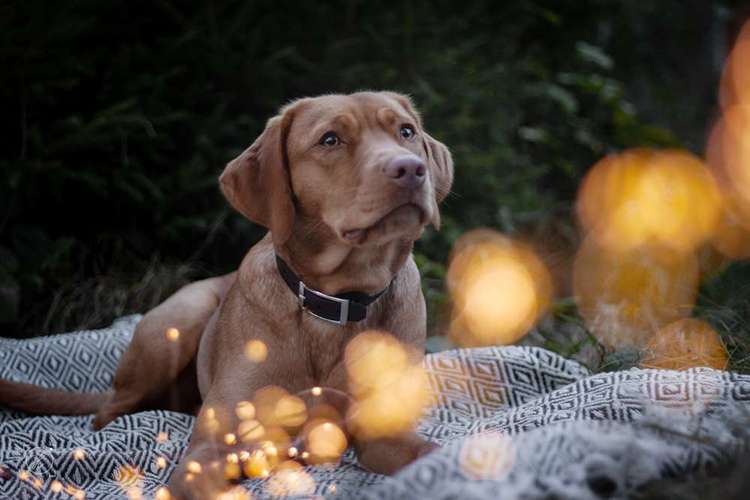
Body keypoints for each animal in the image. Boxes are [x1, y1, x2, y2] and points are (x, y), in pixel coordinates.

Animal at [0, 92, 452, 498]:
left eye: (406, 132)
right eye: (330, 139)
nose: (410, 169)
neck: (335, 301)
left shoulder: (383, 435)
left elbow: (427, 453)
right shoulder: (212, 444)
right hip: (178, 321)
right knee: (108, 409)